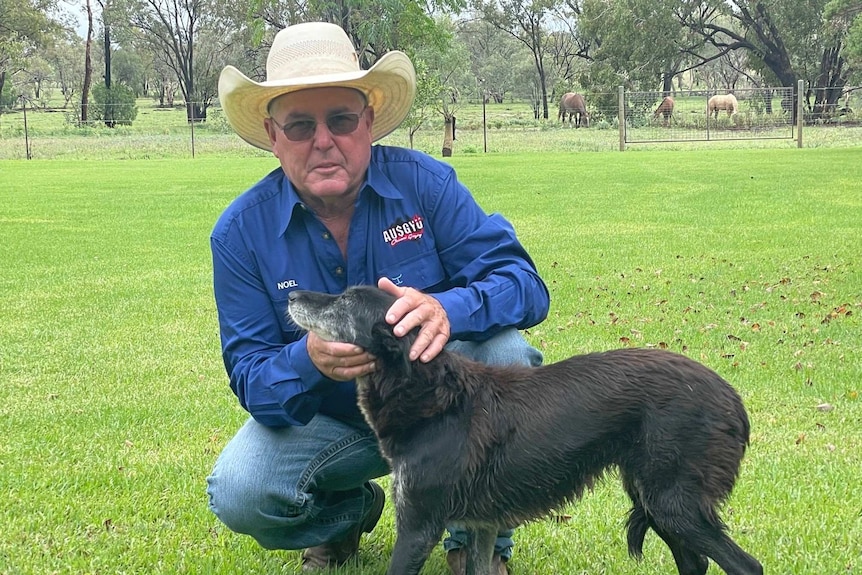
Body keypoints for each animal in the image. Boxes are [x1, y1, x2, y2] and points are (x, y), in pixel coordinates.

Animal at [288, 288, 764, 575]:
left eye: (345, 302)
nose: (291, 293)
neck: (432, 394)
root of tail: (732, 399)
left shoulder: (418, 525)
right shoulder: (480, 526)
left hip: (672, 502)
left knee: (746, 566)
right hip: (658, 500)